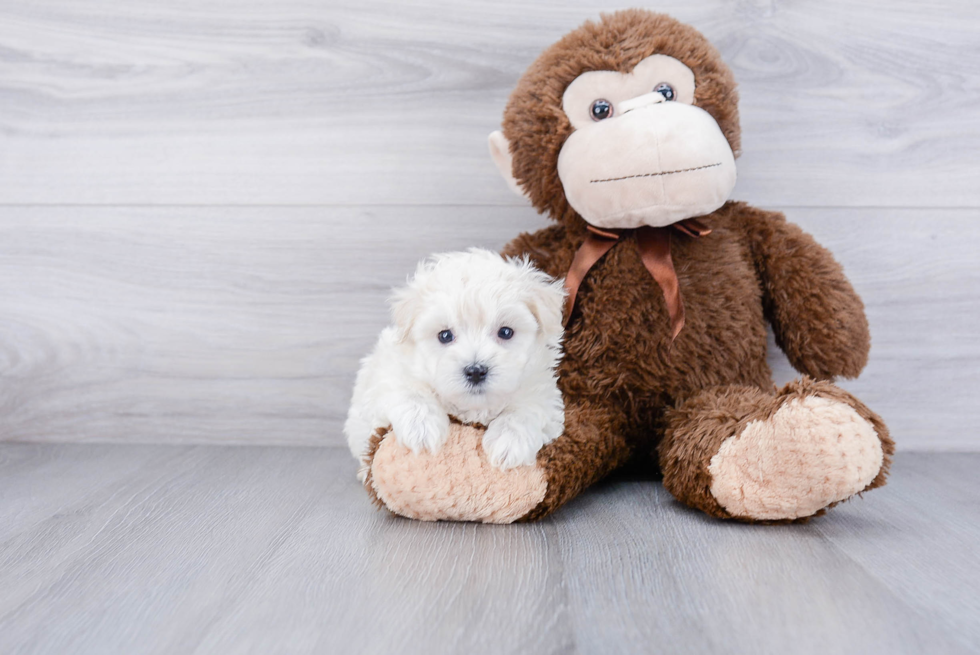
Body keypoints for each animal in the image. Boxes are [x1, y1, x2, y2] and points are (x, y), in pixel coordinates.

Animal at [346, 249, 568, 480]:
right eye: (445, 335)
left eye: (506, 332)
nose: (476, 371)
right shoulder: (389, 370)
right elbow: (408, 389)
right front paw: (421, 428)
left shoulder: (542, 392)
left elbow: (528, 408)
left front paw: (509, 441)